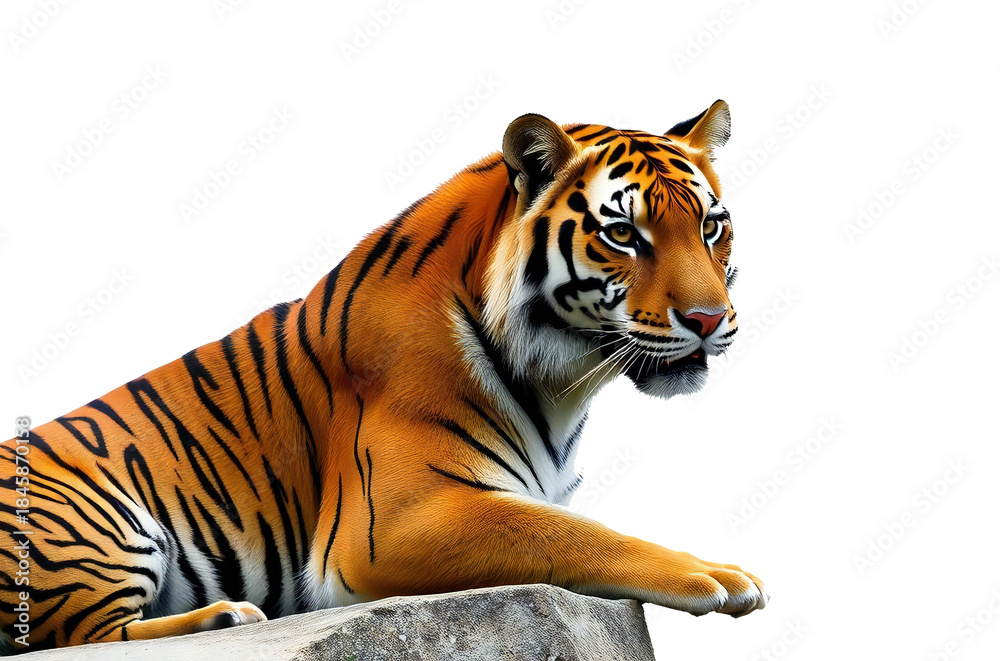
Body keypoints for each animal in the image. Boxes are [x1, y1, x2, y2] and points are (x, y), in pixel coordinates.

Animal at [0, 100, 766, 652]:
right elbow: (576, 537)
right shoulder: (395, 522)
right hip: (93, 521)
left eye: (710, 227)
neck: (564, 385)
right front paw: (719, 574)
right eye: (622, 234)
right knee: (79, 635)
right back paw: (225, 618)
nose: (709, 319)